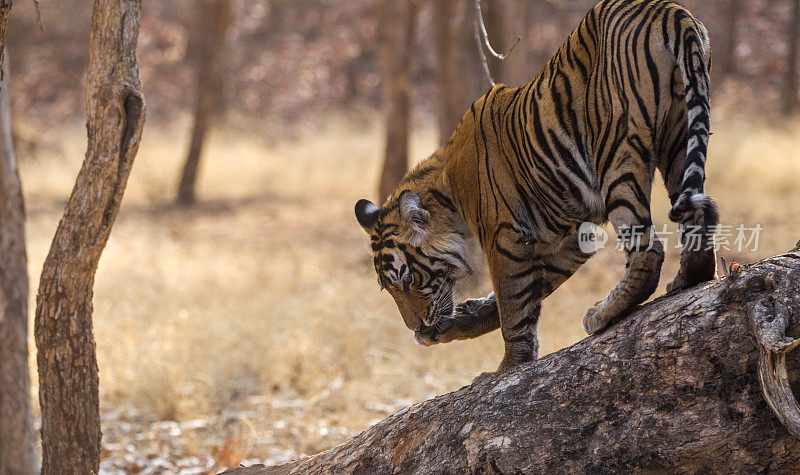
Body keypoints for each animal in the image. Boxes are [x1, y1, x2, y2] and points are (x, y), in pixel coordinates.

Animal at [356, 0, 720, 376]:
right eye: (388, 289)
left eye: (409, 280)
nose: (416, 327)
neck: (451, 193)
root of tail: (671, 12)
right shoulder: (570, 237)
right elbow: (528, 292)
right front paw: (463, 322)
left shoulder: (504, 236)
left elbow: (513, 304)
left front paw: (508, 366)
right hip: (679, 139)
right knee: (696, 221)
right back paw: (686, 280)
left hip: (617, 153)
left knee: (647, 250)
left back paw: (603, 314)